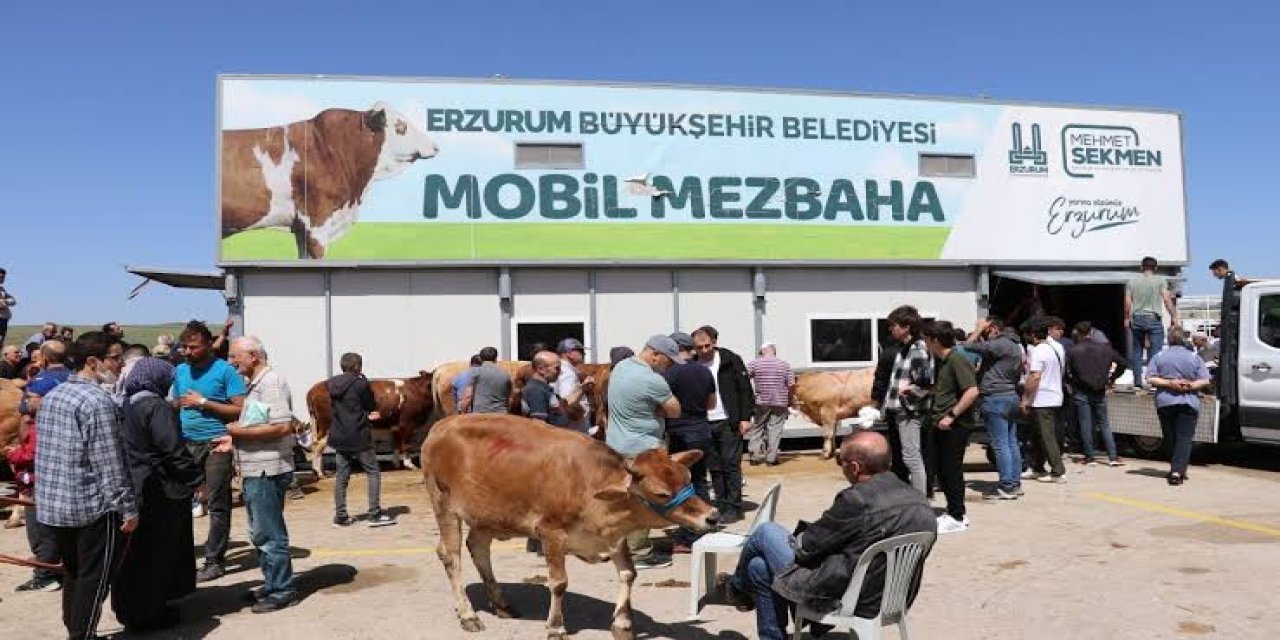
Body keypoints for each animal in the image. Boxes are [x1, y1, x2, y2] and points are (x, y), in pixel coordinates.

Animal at [304, 373, 435, 473]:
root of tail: (314, 389)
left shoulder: (395, 425)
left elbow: (396, 444)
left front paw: (396, 464)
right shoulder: (407, 423)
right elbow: (406, 445)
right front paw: (410, 464)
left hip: (318, 424)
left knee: (316, 443)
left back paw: (320, 470)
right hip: (327, 424)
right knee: (318, 444)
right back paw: (320, 472)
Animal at [422, 414, 716, 640]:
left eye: (687, 477)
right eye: (661, 493)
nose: (712, 516)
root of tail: (442, 424)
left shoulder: (615, 537)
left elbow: (628, 574)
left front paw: (622, 623)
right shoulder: (550, 533)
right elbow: (559, 582)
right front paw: (556, 627)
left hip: (489, 514)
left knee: (479, 548)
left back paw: (502, 604)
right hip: (444, 505)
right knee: (451, 556)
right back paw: (468, 614)